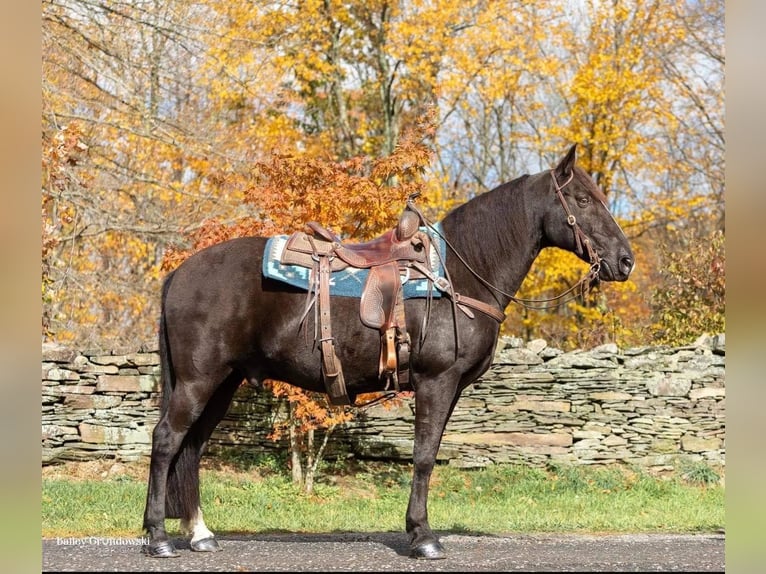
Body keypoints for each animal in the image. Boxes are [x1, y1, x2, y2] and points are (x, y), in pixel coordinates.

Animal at [142, 145, 636, 564]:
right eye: (582, 200)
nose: (625, 261)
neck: (459, 275)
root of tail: (179, 274)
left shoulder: (451, 389)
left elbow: (429, 453)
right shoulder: (436, 381)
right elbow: (424, 456)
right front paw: (422, 537)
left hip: (222, 383)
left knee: (192, 446)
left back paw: (200, 534)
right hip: (198, 381)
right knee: (167, 440)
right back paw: (158, 537)